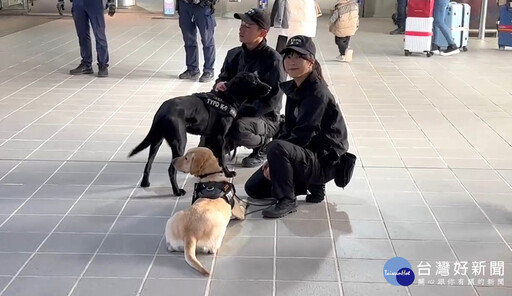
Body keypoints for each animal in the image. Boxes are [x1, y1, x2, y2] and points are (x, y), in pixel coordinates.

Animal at [128, 71, 272, 197]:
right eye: (254, 81)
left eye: (258, 78)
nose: (270, 87)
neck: (228, 97)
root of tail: (163, 110)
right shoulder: (220, 137)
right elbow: (222, 157)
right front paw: (227, 173)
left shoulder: (210, 137)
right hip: (180, 142)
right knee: (171, 169)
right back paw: (177, 191)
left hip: (157, 141)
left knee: (149, 163)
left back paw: (145, 182)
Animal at [164, 147, 244, 276]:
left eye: (186, 158)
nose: (173, 160)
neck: (211, 175)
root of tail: (189, 235)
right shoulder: (236, 209)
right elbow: (242, 210)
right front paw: (245, 204)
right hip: (219, 228)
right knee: (213, 248)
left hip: (174, 218)